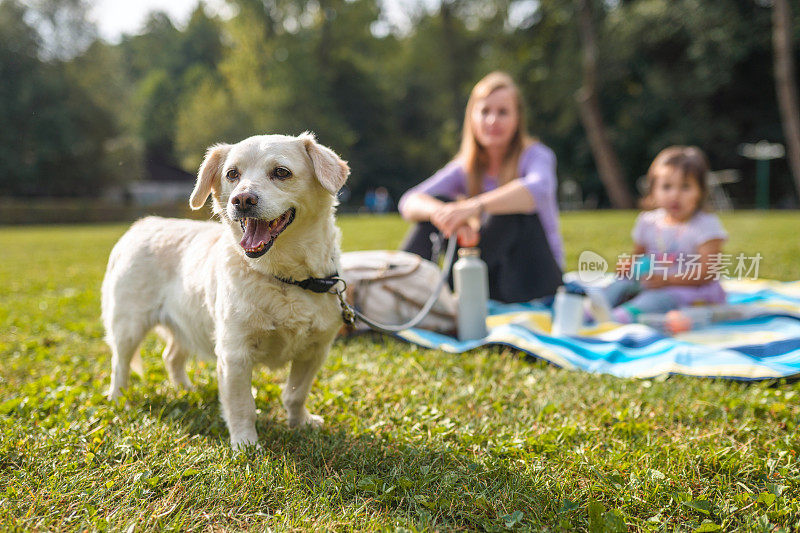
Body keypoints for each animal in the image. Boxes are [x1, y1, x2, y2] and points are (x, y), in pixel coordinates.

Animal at [101, 132, 348, 444]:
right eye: (232, 174)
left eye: (281, 172)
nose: (241, 199)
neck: (281, 277)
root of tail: (141, 225)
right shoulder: (234, 354)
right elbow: (242, 405)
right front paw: (245, 443)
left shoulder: (314, 351)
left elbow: (296, 394)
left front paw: (300, 423)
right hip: (128, 327)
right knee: (119, 366)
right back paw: (118, 400)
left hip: (188, 322)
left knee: (170, 357)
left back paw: (186, 391)